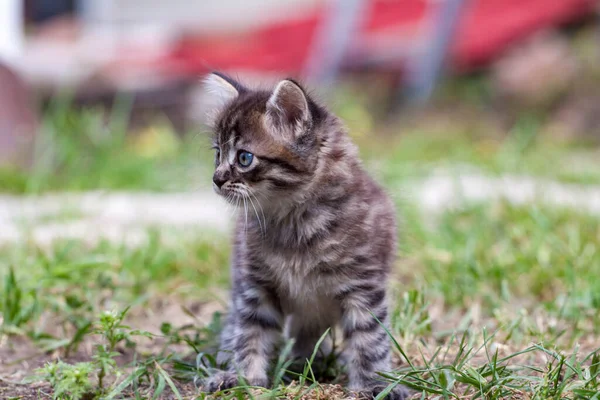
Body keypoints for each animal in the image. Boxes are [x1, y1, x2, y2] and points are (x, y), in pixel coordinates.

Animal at [202, 72, 408, 400]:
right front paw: (244, 378)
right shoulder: (254, 286)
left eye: (244, 158)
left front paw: (375, 384)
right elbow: (249, 333)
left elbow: (369, 339)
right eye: (218, 154)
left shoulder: (363, 286)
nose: (217, 179)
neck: (294, 224)